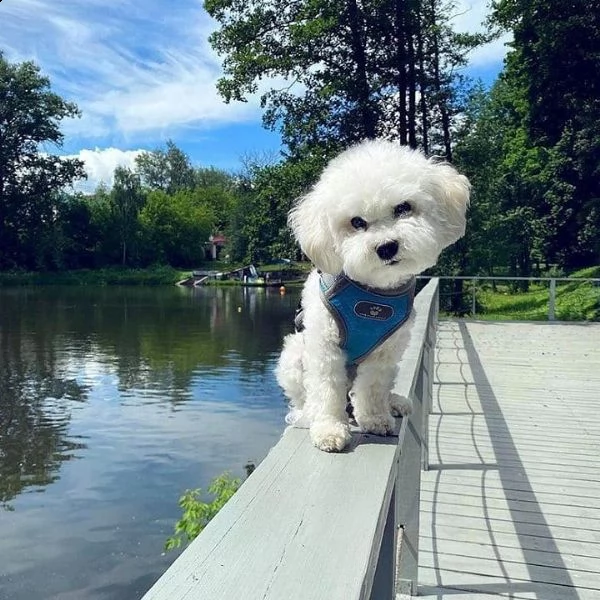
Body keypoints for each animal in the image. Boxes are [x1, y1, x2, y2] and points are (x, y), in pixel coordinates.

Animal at [276, 139, 468, 450]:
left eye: (403, 208)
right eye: (356, 222)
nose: (386, 247)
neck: (373, 293)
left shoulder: (387, 349)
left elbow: (373, 386)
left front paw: (376, 419)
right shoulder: (324, 347)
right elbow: (327, 389)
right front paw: (328, 429)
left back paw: (394, 402)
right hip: (292, 357)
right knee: (306, 397)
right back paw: (305, 415)